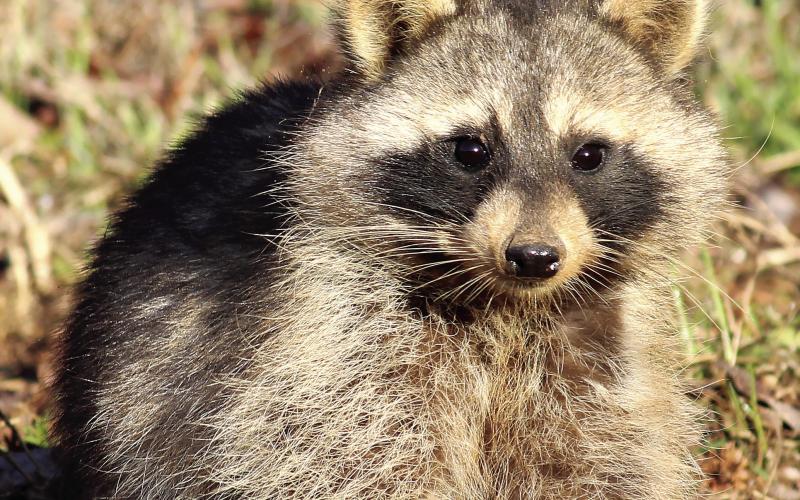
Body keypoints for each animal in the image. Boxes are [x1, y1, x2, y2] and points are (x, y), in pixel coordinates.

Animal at [52, 0, 727, 498]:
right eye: (470, 150)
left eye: (588, 154)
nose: (534, 256)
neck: (505, 309)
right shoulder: (330, 351)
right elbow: (341, 462)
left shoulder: (601, 369)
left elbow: (602, 463)